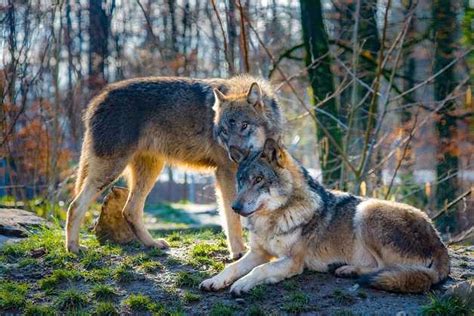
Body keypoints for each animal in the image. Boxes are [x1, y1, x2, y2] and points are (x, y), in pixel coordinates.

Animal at [66, 75, 282, 258]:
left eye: (244, 125)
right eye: (224, 131)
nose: (234, 155)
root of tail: (97, 99)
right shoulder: (225, 173)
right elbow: (232, 217)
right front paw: (238, 252)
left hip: (150, 171)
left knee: (130, 210)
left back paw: (152, 244)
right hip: (111, 171)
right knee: (75, 205)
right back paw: (73, 247)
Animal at [201, 139, 452, 296]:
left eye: (259, 180)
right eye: (241, 181)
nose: (234, 207)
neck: (273, 218)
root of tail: (440, 242)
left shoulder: (292, 262)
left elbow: (259, 270)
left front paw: (242, 284)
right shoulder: (258, 252)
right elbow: (232, 267)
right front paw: (215, 280)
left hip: (367, 209)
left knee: (384, 269)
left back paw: (347, 270)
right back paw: (344, 269)